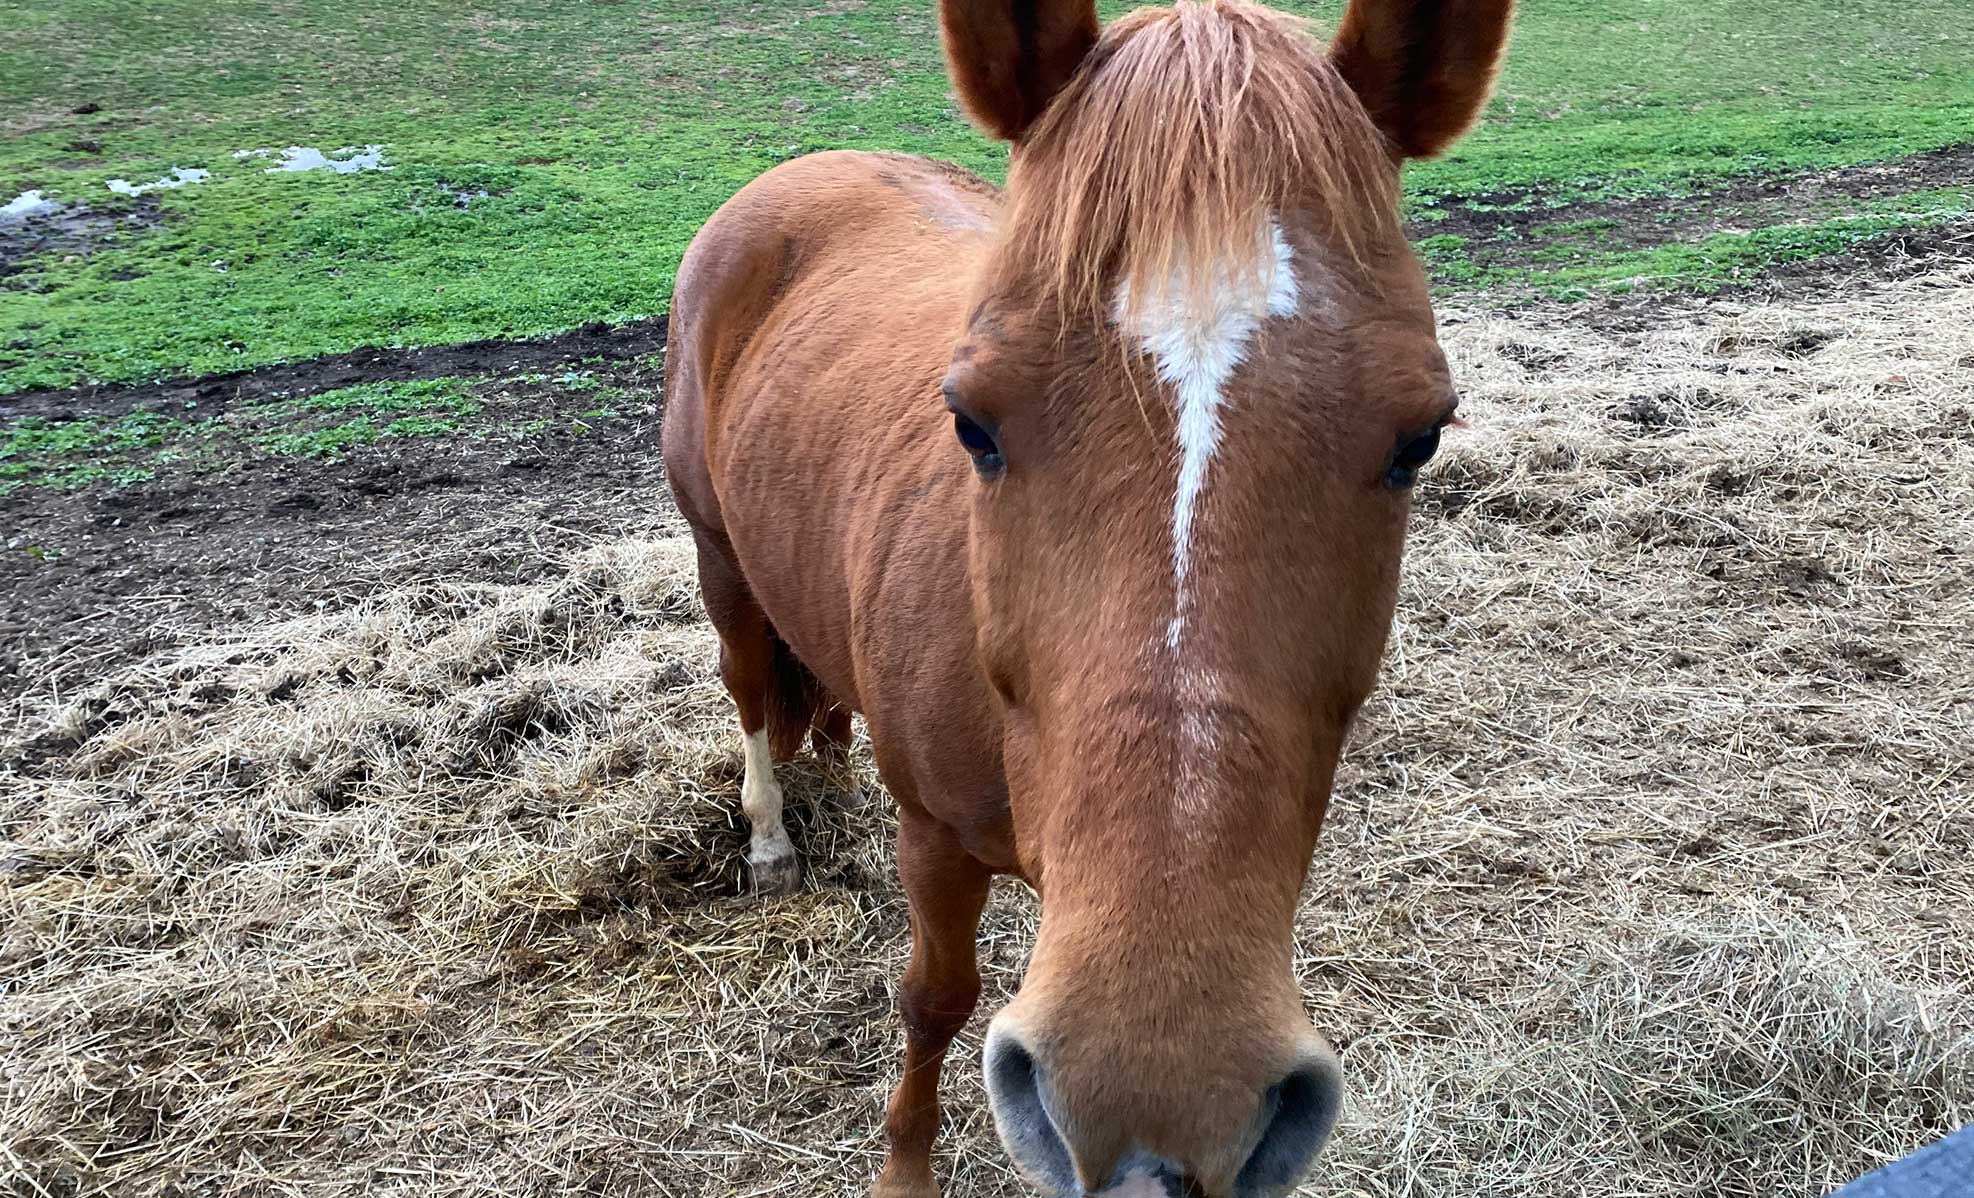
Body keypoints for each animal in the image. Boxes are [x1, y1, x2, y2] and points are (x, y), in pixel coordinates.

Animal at [661, 1, 1513, 1193]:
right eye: (970, 423)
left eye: (1419, 439)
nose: (1164, 1100)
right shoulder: (934, 834)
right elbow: (935, 1000)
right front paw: (905, 1165)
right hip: (720, 558)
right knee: (748, 688)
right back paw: (774, 841)